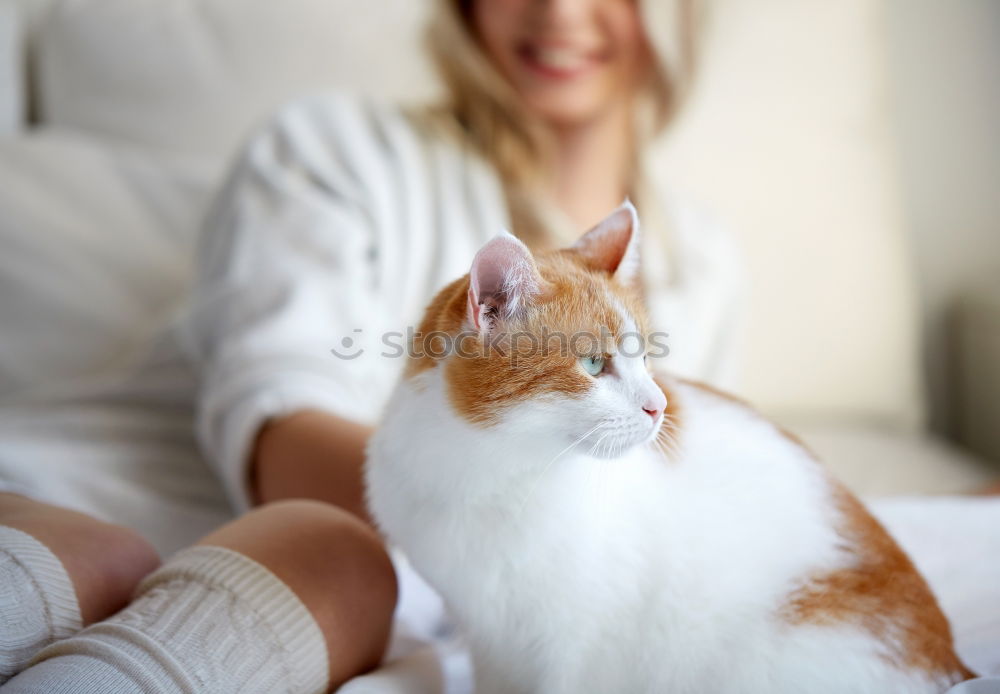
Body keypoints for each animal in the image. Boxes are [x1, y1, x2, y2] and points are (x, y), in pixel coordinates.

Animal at [364, 203, 972, 694]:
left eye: (645, 357)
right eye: (594, 364)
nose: (658, 405)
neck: (491, 474)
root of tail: (951, 665)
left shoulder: (577, 647)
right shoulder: (491, 641)